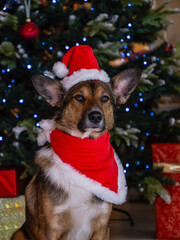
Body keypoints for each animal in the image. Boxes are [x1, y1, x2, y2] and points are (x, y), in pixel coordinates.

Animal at [11, 47, 141, 240]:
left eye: (105, 99)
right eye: (79, 97)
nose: (95, 116)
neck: (85, 152)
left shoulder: (102, 228)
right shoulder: (49, 229)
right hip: (19, 234)